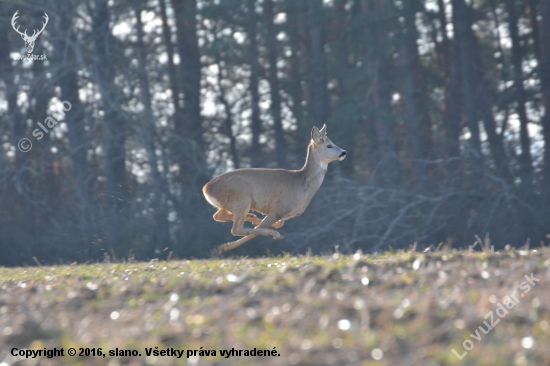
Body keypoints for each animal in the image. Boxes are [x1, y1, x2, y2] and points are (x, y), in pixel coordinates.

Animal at [205, 123, 348, 254]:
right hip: (241, 198)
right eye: (329, 145)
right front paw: (225, 247)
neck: (302, 184)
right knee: (236, 229)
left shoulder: (283, 213)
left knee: (217, 216)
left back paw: (253, 219)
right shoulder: (279, 209)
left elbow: (275, 224)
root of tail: (206, 189)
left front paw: (258, 223)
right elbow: (257, 231)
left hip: (231, 203)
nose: (344, 152)